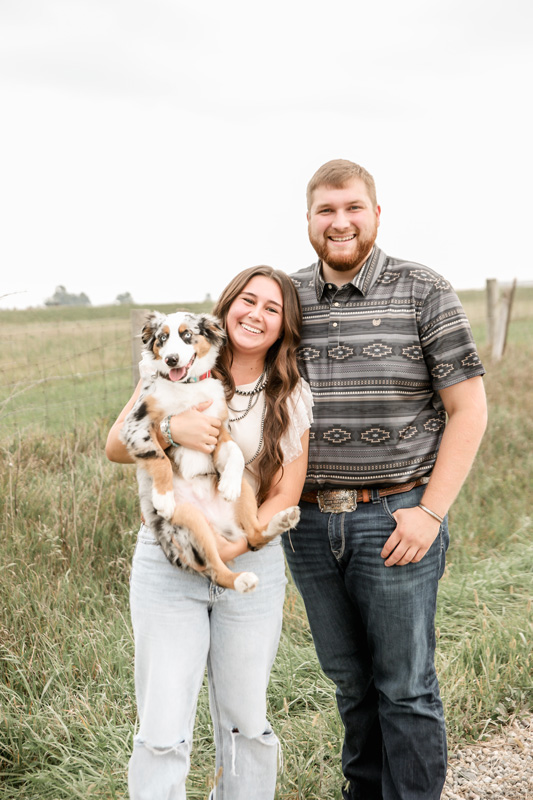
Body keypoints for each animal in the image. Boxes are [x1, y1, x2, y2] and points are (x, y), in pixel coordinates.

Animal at [121, 312, 302, 592]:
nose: (171, 359)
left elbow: (236, 452)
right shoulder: (136, 424)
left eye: (187, 334)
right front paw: (163, 498)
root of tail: (220, 526)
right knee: (214, 569)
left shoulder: (218, 431)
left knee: (253, 537)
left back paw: (282, 520)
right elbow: (160, 459)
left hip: (245, 493)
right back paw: (241, 579)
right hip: (190, 521)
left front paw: (228, 484)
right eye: (161, 338)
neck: (187, 387)